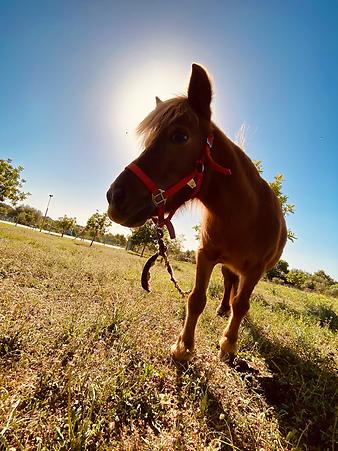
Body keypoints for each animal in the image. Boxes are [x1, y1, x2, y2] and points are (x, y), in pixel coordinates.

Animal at [107, 63, 286, 362]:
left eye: (180, 136)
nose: (114, 197)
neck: (244, 217)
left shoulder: (256, 269)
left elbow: (242, 303)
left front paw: (228, 343)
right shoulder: (206, 255)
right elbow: (196, 298)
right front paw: (184, 346)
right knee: (229, 285)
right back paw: (223, 309)